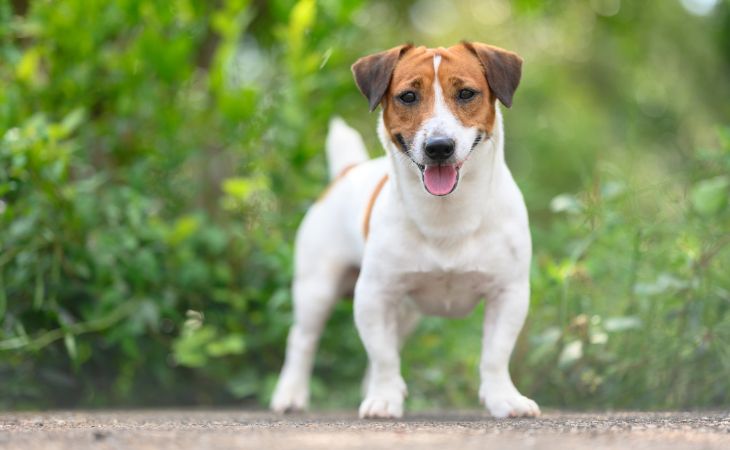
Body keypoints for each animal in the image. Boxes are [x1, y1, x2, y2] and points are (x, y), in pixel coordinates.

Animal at [270, 41, 536, 418]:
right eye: (408, 96)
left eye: (466, 93)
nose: (439, 147)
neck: (447, 214)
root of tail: (347, 171)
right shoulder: (374, 295)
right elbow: (383, 357)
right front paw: (384, 398)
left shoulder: (508, 293)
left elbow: (496, 355)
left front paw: (504, 398)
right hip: (316, 289)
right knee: (303, 340)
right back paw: (291, 394)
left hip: (406, 312)